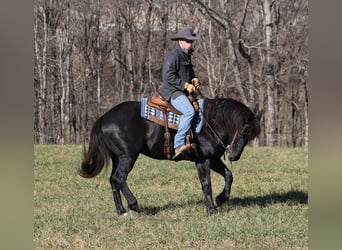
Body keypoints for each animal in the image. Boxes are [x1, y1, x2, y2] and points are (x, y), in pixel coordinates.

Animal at [79, 96, 262, 214]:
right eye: (245, 131)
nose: (234, 156)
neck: (210, 122)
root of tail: (103, 118)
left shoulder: (214, 158)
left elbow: (229, 176)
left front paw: (219, 200)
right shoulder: (203, 160)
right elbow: (206, 184)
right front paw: (211, 210)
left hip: (117, 158)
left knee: (113, 180)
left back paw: (121, 210)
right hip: (128, 156)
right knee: (119, 178)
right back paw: (133, 205)